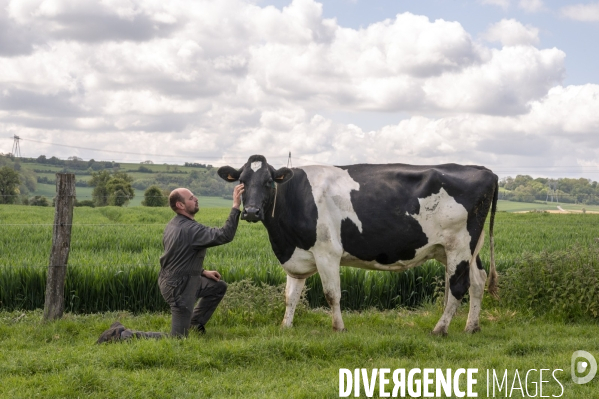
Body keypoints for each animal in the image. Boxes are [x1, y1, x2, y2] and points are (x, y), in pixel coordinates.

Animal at [218, 155, 500, 336]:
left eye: (268, 182)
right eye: (241, 181)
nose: (251, 211)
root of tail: (485, 170)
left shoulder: (327, 252)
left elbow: (332, 294)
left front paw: (338, 328)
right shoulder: (297, 255)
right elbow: (291, 296)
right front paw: (285, 327)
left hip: (459, 246)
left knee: (458, 286)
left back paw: (440, 329)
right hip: (462, 249)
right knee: (478, 280)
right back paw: (471, 327)